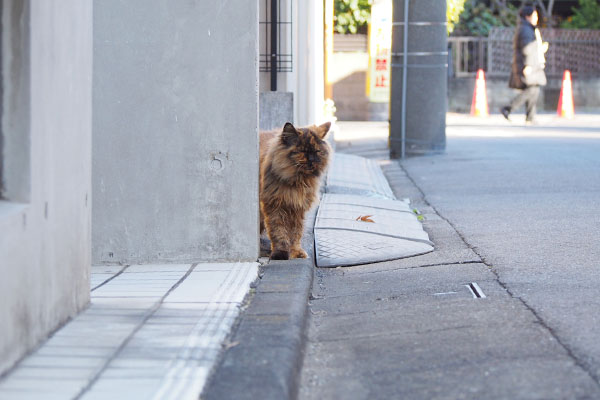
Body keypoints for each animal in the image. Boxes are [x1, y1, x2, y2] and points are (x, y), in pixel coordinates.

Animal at [258, 121, 332, 260]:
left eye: (317, 151)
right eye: (302, 151)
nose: (312, 160)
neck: (297, 181)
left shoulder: (297, 209)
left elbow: (295, 233)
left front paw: (295, 252)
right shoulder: (275, 207)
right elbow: (279, 232)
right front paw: (280, 253)